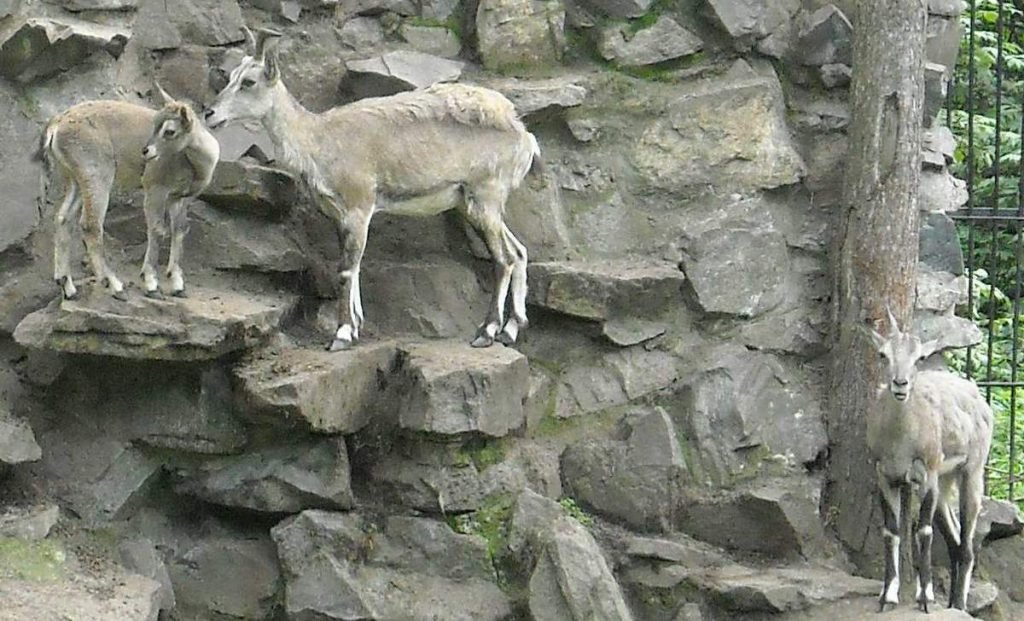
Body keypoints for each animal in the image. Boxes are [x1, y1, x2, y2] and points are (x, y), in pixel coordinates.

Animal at [40, 87, 220, 301]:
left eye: (169, 131)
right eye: (155, 124)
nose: (146, 151)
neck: (195, 163)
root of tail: (57, 125)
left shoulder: (180, 198)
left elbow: (180, 230)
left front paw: (177, 284)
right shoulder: (155, 189)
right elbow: (157, 229)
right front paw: (150, 283)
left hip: (75, 179)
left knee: (63, 219)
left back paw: (67, 286)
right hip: (96, 174)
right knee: (90, 224)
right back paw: (114, 285)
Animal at [206, 27, 544, 354]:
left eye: (248, 81)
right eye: (231, 75)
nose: (210, 113)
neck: (319, 139)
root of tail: (525, 137)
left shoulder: (359, 206)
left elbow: (346, 269)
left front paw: (342, 334)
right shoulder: (341, 215)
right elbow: (353, 267)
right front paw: (356, 326)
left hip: (485, 197)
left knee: (504, 259)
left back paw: (486, 331)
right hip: (473, 204)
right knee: (519, 251)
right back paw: (511, 329)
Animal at [864, 311, 991, 614]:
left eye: (919, 358)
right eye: (883, 354)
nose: (900, 384)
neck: (900, 440)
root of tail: (978, 398)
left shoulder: (927, 473)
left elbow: (923, 531)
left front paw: (925, 596)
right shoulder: (885, 475)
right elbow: (892, 531)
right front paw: (888, 595)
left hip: (970, 472)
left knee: (967, 546)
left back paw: (959, 604)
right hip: (944, 482)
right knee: (955, 540)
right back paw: (952, 602)